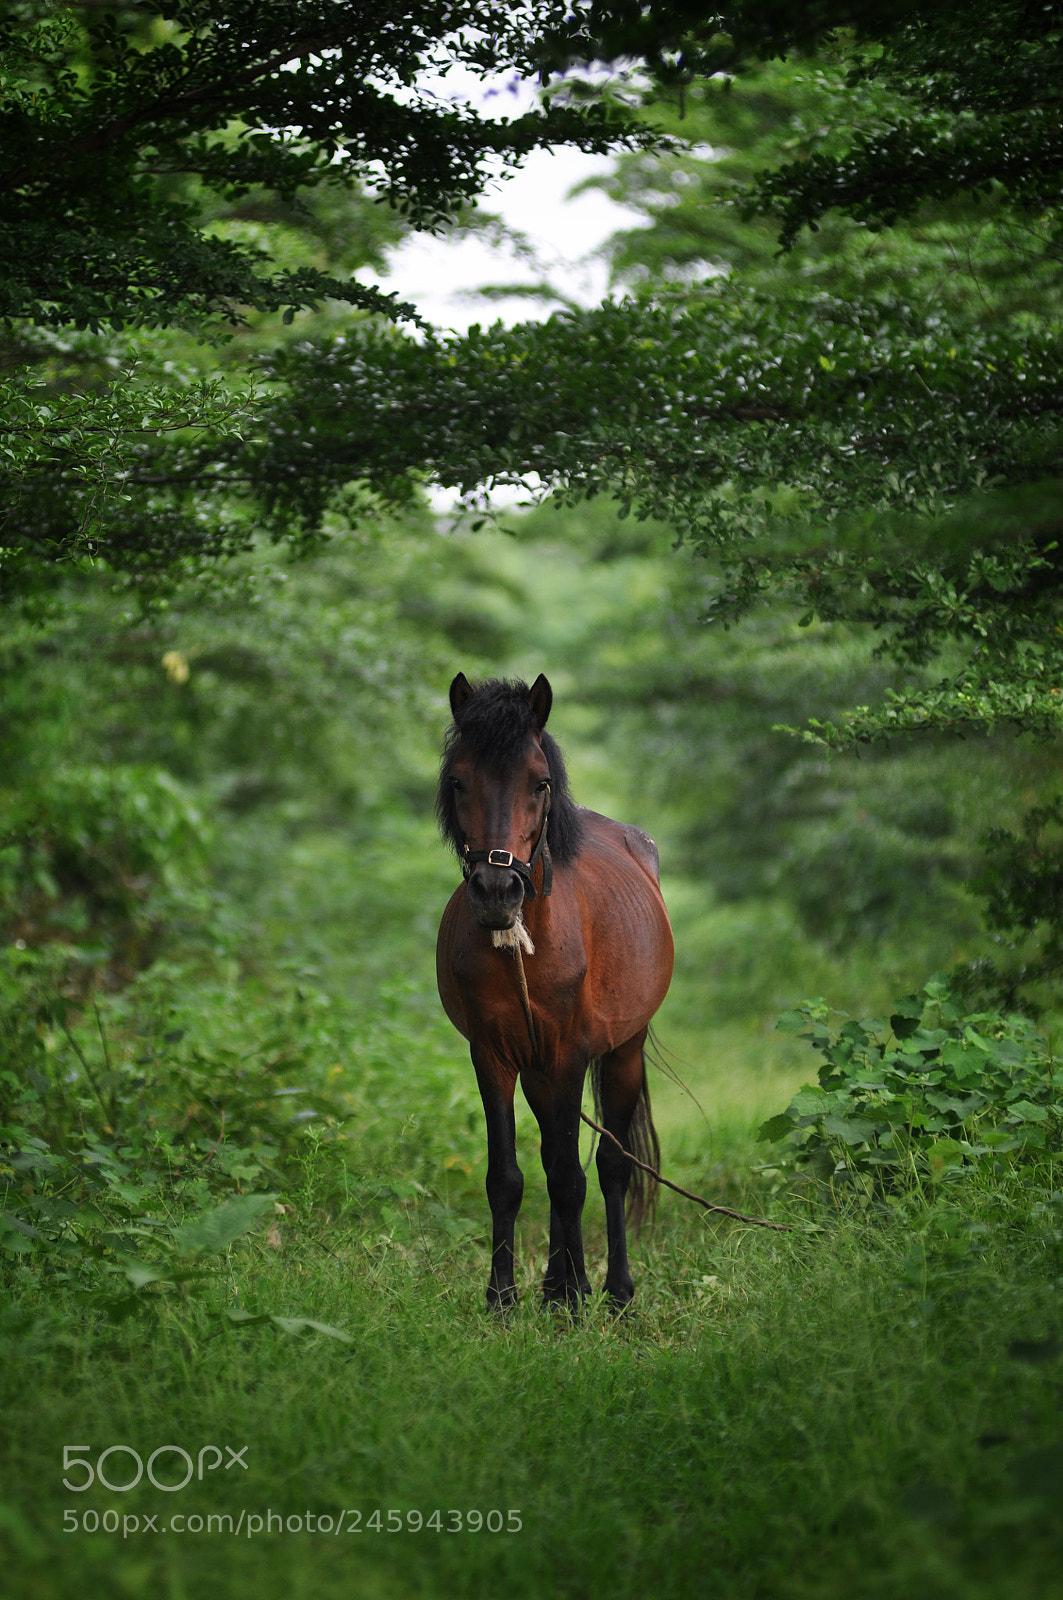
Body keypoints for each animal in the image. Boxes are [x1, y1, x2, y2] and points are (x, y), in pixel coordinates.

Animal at [435, 672, 674, 1312]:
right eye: (458, 780)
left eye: (539, 783)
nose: (497, 891)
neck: (528, 943)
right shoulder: (493, 1056)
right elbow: (509, 1177)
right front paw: (505, 1297)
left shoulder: (569, 1055)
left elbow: (571, 1177)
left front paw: (572, 1299)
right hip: (539, 1071)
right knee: (553, 1156)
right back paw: (555, 1283)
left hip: (621, 1053)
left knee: (610, 1166)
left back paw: (613, 1291)